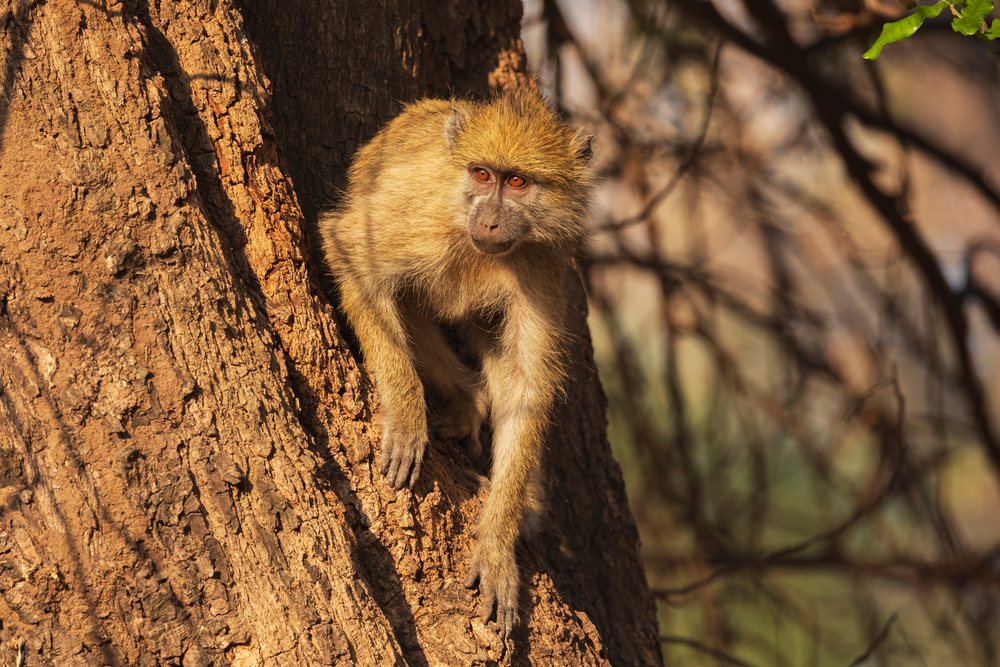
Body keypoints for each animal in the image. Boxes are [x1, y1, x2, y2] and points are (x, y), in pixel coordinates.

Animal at [319, 86, 591, 637]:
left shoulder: (540, 263)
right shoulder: (415, 221)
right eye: (482, 175)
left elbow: (526, 389)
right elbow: (350, 251)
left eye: (517, 181)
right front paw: (406, 417)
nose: (489, 220)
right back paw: (463, 401)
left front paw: (497, 544)